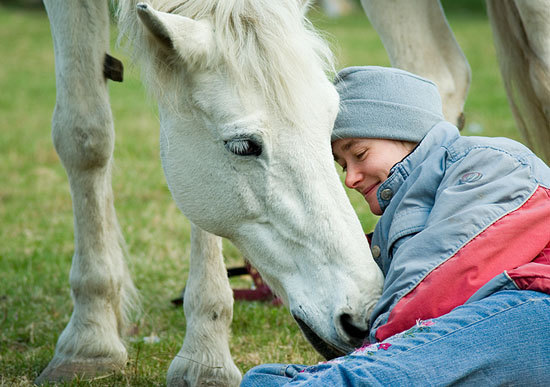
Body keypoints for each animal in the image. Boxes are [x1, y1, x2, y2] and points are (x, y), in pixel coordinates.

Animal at [36, 1, 386, 386]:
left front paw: (205, 355)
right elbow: (84, 136)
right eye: (243, 146)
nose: (365, 314)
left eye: (330, 124)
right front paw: (90, 341)